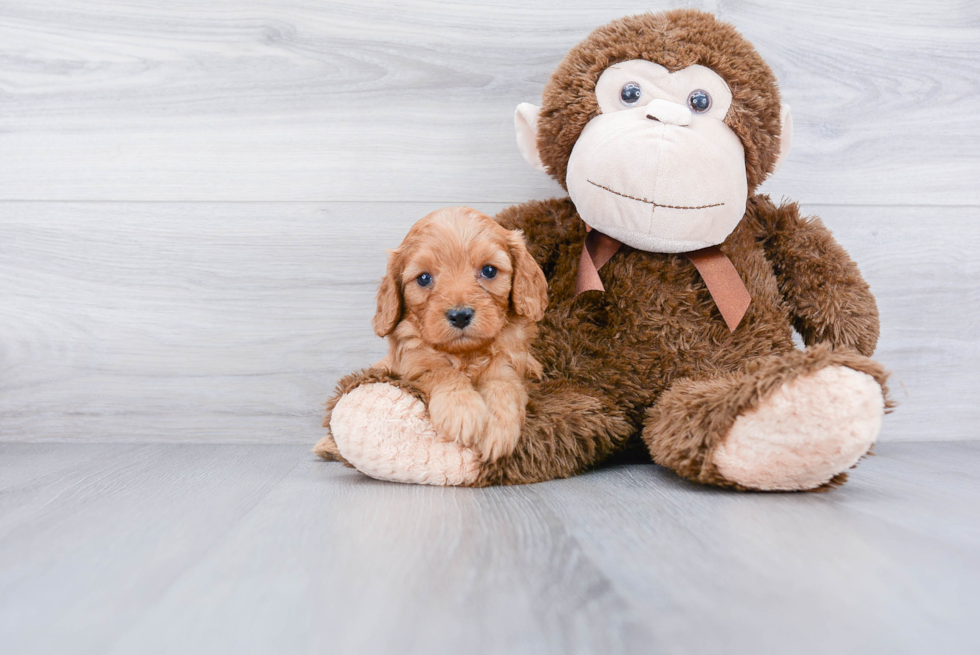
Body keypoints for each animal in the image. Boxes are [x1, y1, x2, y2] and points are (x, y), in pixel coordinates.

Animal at [372, 208, 548, 464]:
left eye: (489, 270)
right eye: (424, 278)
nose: (460, 315)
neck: (466, 354)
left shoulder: (509, 363)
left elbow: (504, 385)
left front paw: (498, 426)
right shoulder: (414, 363)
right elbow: (441, 372)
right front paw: (461, 410)